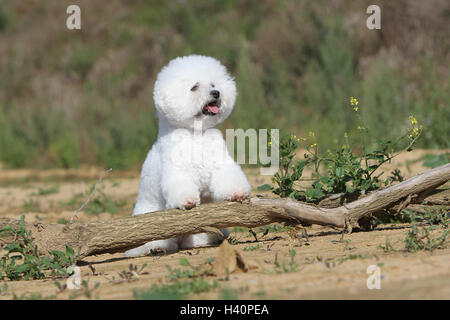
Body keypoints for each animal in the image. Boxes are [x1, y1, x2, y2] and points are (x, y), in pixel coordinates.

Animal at [125, 54, 251, 255]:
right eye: (194, 87)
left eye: (213, 83)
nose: (216, 93)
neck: (195, 134)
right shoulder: (177, 171)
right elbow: (181, 187)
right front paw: (188, 201)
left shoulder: (220, 165)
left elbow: (228, 178)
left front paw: (237, 193)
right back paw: (156, 248)